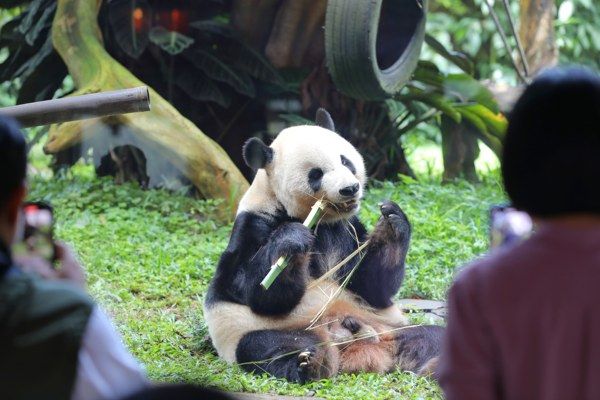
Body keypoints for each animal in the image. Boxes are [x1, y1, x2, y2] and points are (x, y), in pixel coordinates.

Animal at [204, 109, 443, 383]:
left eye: (345, 161)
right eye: (316, 174)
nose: (350, 188)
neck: (319, 220)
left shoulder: (347, 229)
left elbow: (372, 285)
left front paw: (392, 224)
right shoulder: (253, 225)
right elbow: (256, 292)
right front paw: (292, 241)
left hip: (390, 326)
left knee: (434, 337)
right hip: (273, 330)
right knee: (264, 346)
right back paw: (307, 363)